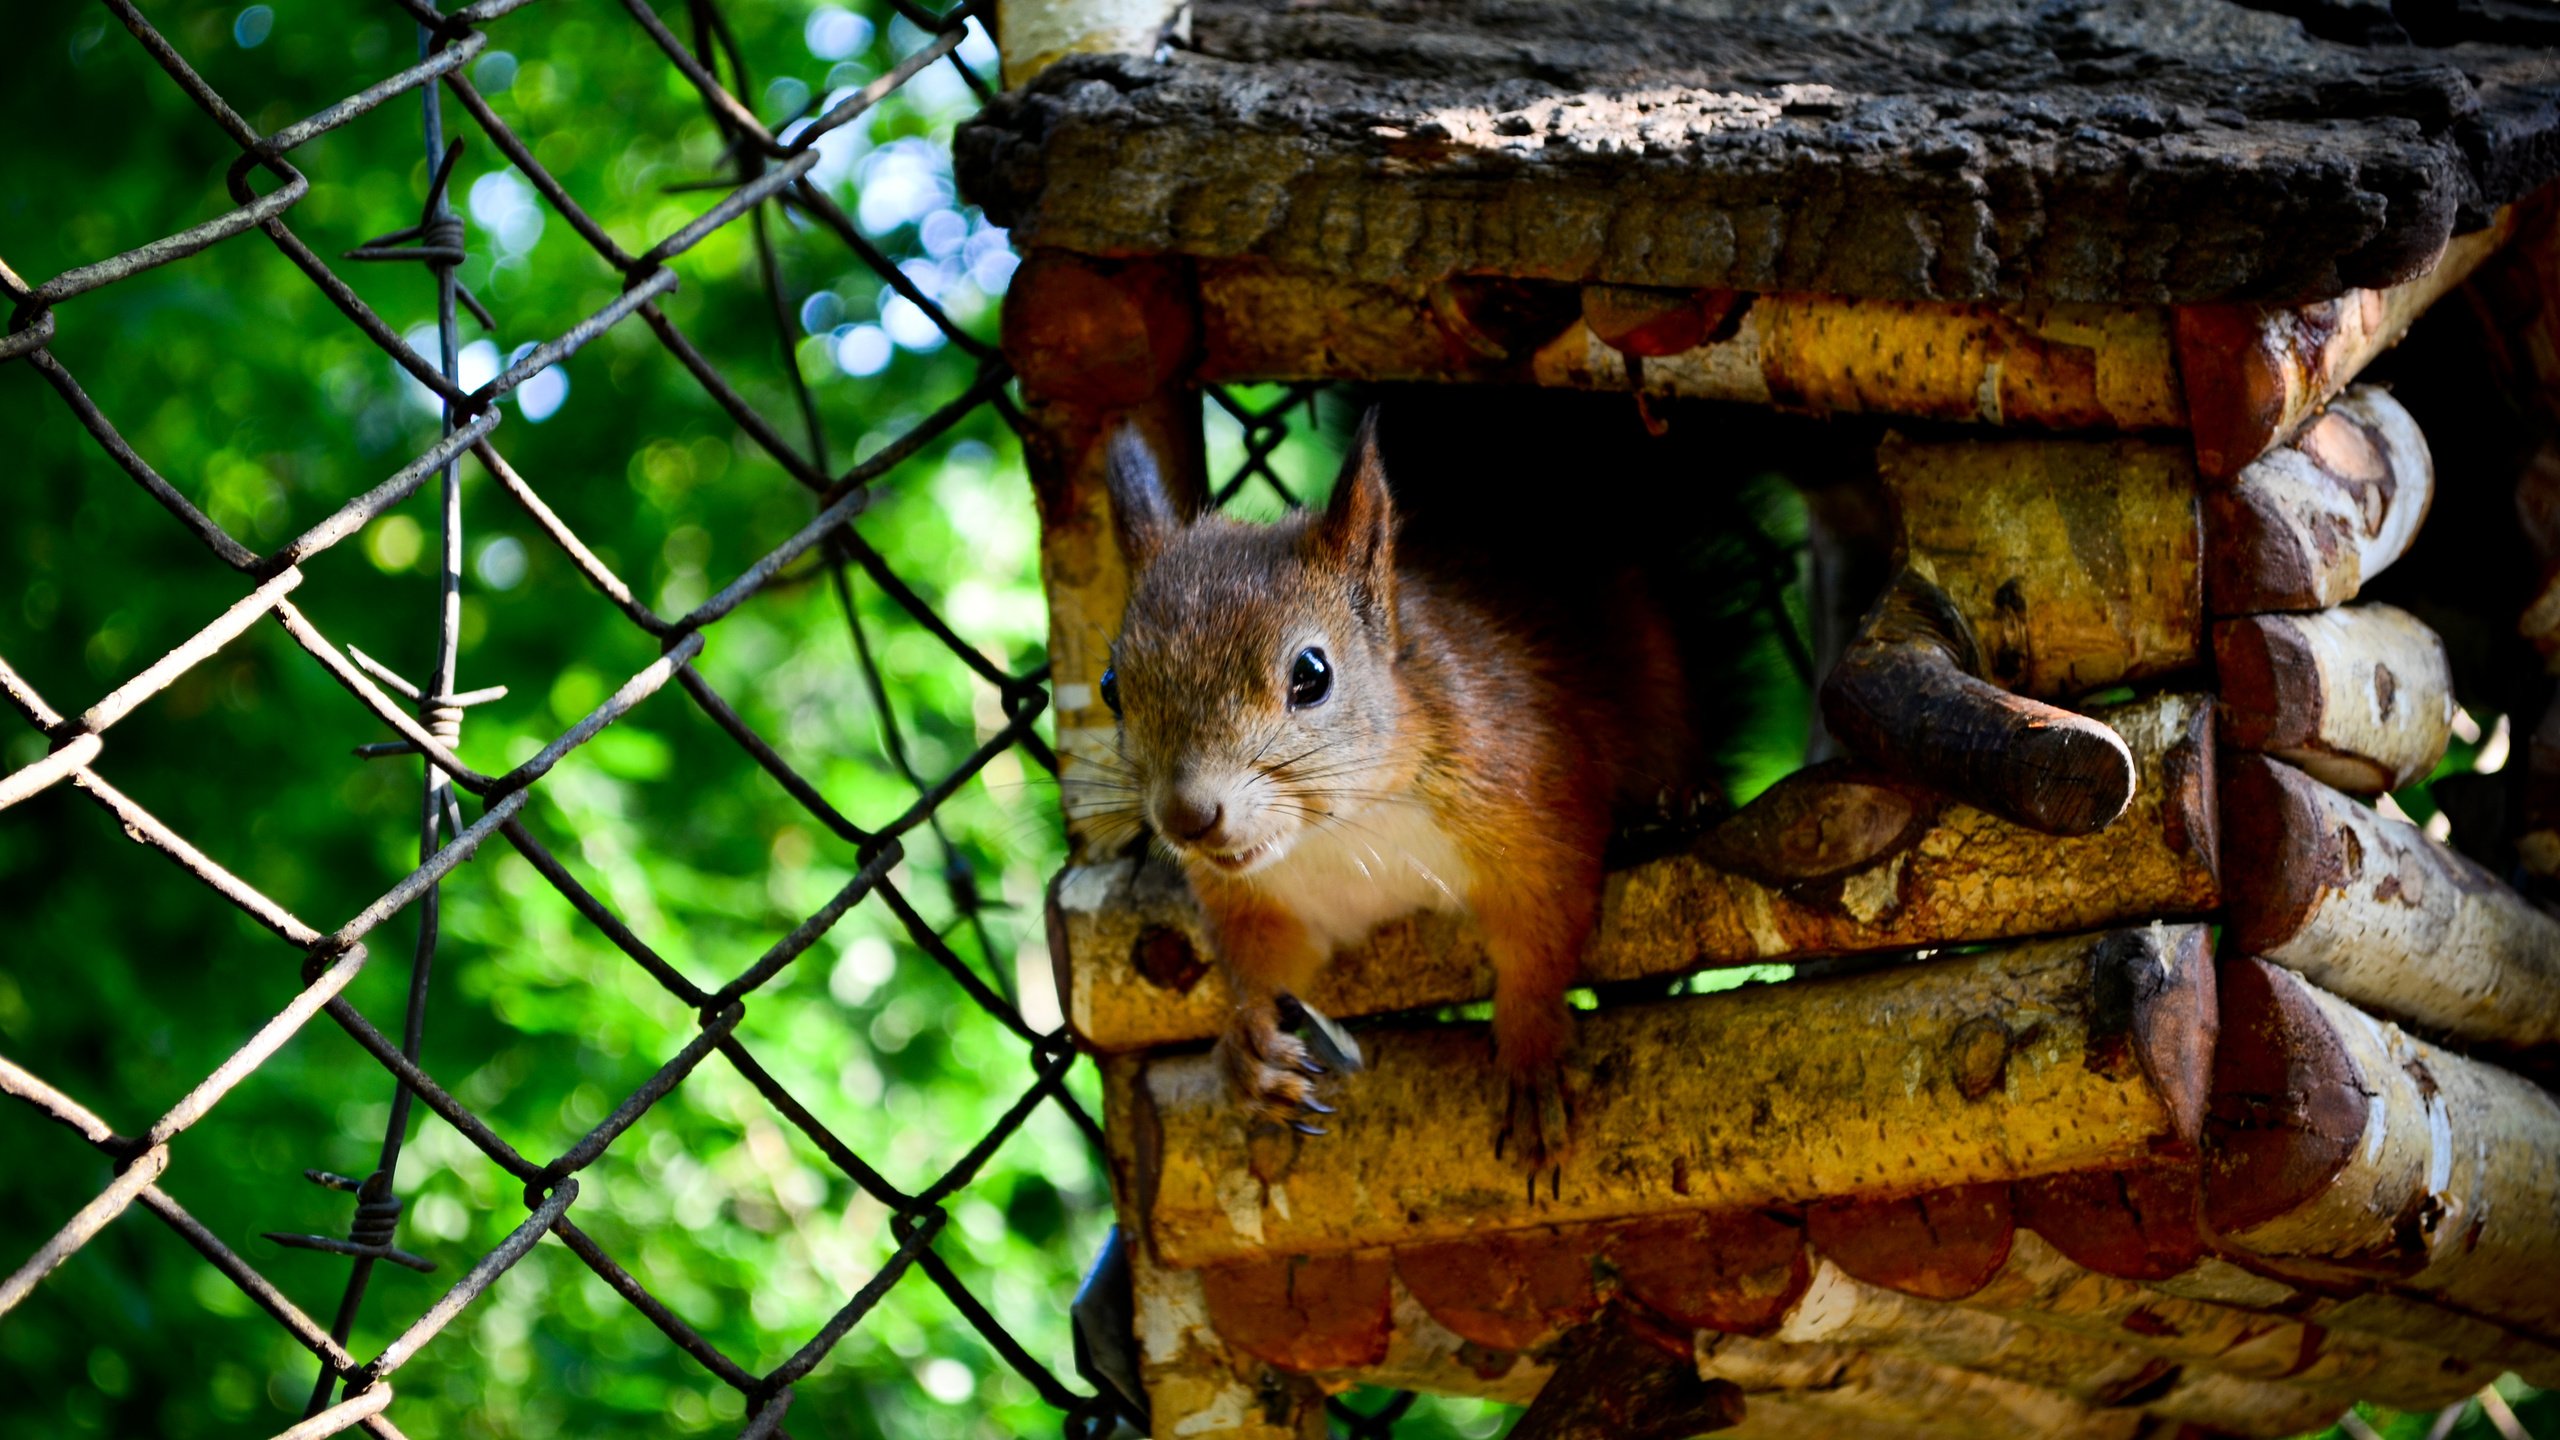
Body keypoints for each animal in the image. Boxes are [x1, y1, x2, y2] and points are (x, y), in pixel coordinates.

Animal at [1085, 404, 1699, 1168]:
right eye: (1111, 687)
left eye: (1312, 674)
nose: (1187, 817)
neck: (1345, 826)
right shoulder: (1262, 899)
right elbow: (1263, 963)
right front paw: (1250, 1048)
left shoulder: (1531, 794)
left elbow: (1542, 929)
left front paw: (1531, 1054)